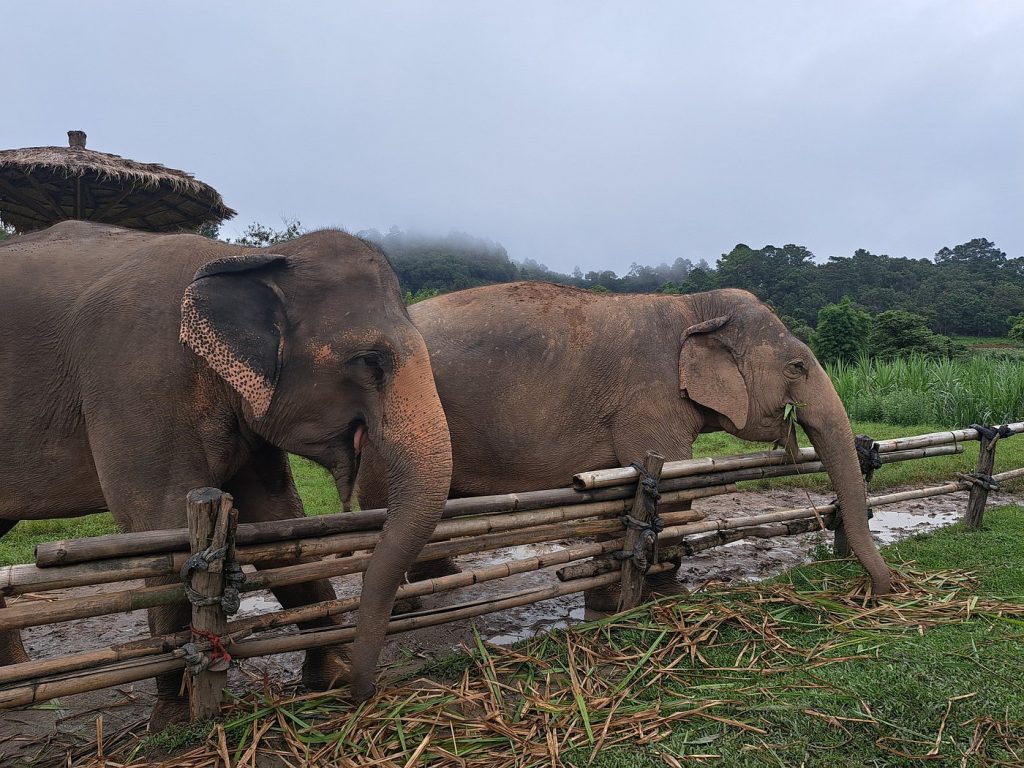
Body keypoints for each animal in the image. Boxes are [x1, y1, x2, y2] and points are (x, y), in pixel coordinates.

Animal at [0, 221, 452, 729]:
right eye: (370, 360)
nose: (367, 693)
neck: (244, 257)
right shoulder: (136, 380)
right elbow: (163, 528)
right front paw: (175, 720)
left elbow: (277, 522)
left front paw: (330, 677)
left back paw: (18, 681)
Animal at [356, 281, 891, 602]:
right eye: (797, 366)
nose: (887, 588)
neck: (694, 304)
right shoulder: (649, 398)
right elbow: (672, 484)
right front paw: (665, 596)